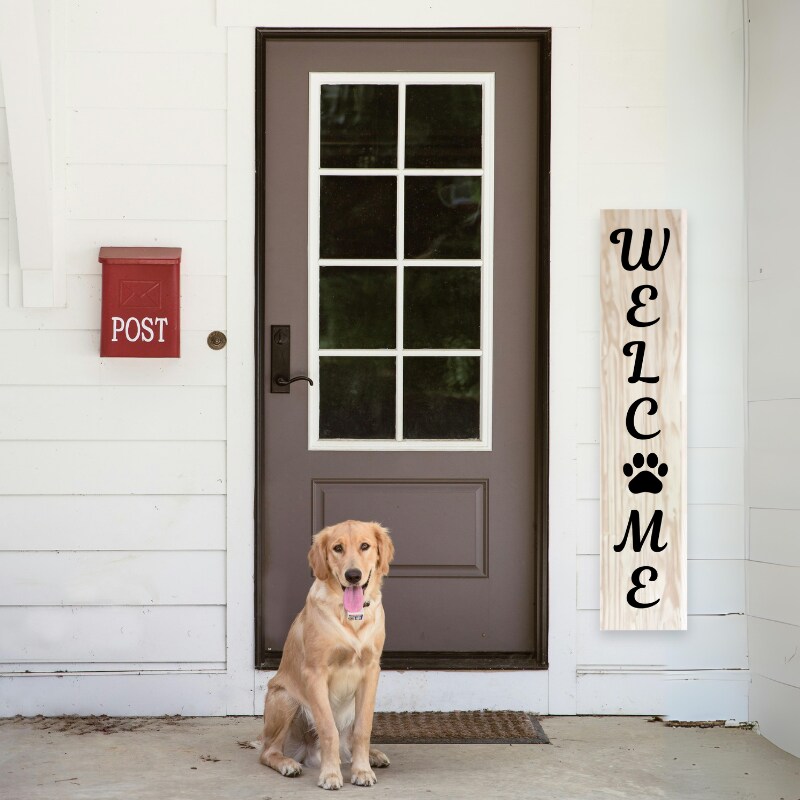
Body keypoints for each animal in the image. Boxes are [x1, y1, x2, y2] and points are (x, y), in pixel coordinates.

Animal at [260, 520, 394, 788]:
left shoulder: (371, 670)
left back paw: (371, 756)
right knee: (268, 751)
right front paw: (330, 774)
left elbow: (364, 728)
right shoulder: (315, 673)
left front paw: (362, 771)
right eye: (337, 548)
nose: (353, 575)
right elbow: (328, 728)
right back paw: (288, 764)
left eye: (365, 546)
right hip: (285, 698)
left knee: (350, 741)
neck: (350, 616)